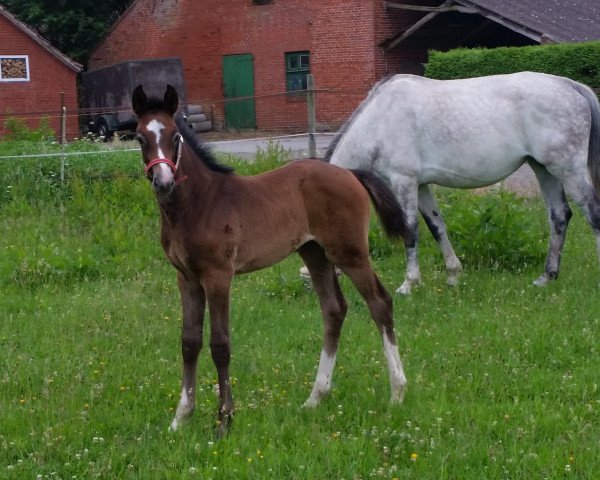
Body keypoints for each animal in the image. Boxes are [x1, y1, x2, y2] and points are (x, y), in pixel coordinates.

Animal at [132, 85, 408, 436]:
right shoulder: (187, 277)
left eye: (176, 136)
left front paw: (224, 420)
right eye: (140, 137)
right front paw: (181, 418)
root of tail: (349, 173)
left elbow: (220, 345)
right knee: (334, 309)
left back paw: (397, 392)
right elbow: (189, 341)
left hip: (350, 252)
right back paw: (315, 398)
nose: (163, 181)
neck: (198, 203)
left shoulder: (218, 276)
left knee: (379, 303)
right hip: (314, 253)